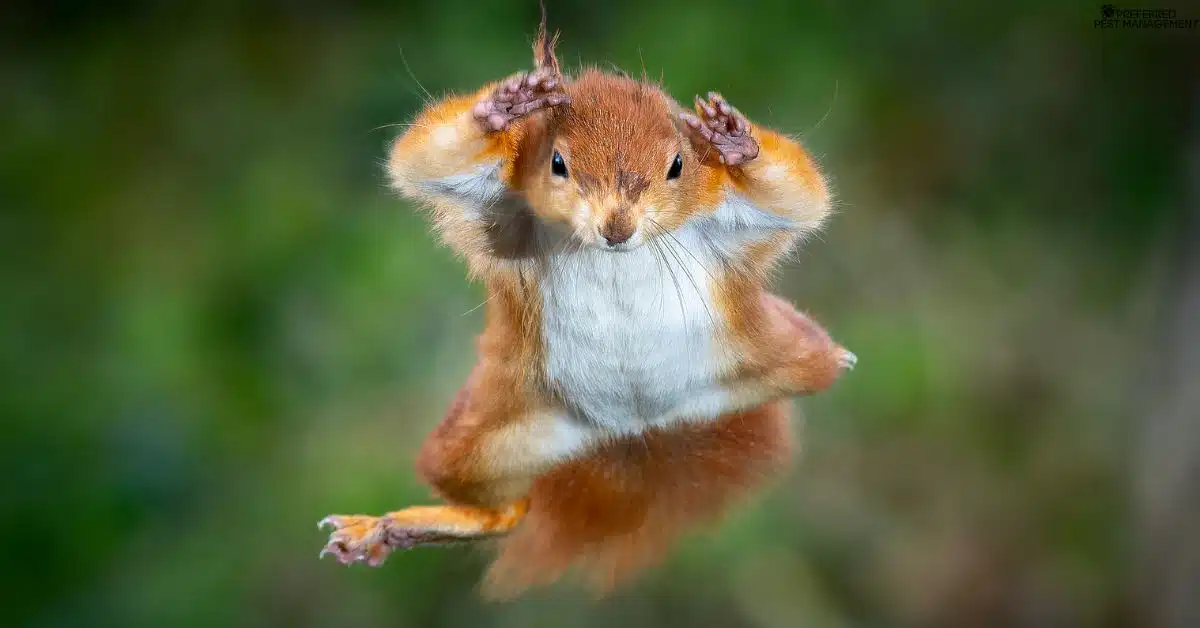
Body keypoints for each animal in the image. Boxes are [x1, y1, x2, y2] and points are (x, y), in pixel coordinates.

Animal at [318, 11, 856, 599]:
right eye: (557, 162)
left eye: (677, 165)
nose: (616, 228)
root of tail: (633, 428)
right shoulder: (502, 206)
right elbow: (424, 158)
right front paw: (503, 106)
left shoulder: (726, 216)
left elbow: (799, 196)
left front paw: (736, 141)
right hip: (489, 436)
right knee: (504, 510)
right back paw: (389, 528)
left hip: (766, 355)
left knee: (814, 364)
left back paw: (838, 356)